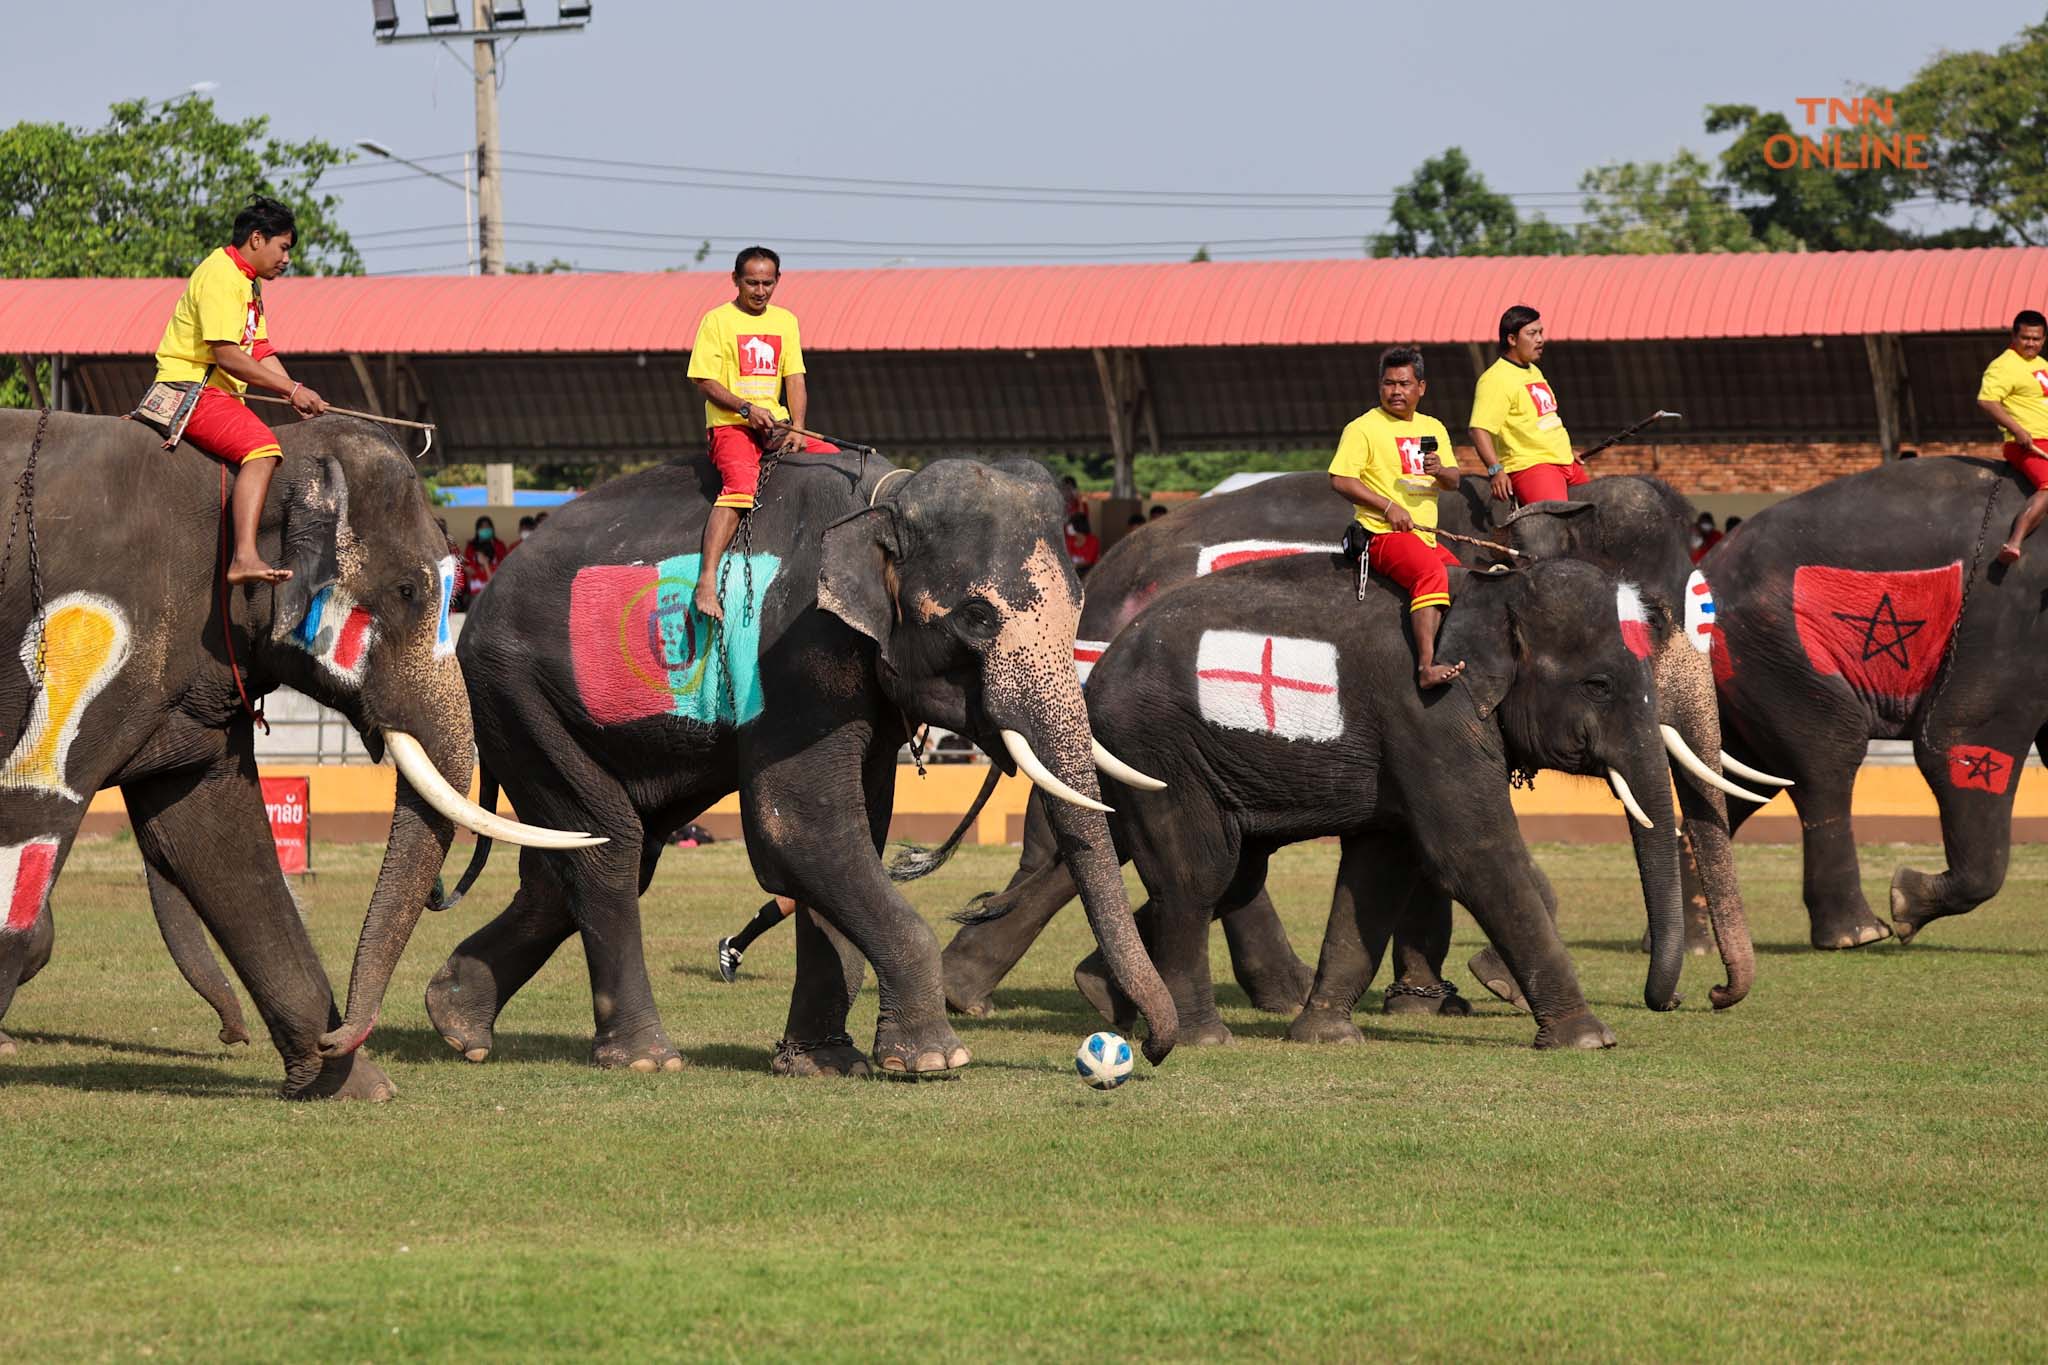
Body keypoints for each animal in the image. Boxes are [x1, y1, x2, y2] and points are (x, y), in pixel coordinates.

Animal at [0, 409, 589, 1096]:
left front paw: (351, 1086)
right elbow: (35, 810)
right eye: (407, 591)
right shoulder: (86, 643)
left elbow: (213, 833)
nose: (231, 1038)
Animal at [397, 448, 1179, 1080]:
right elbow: (799, 827)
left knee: (582, 855)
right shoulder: (796, 647)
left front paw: (825, 1063)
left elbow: (853, 831)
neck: (887, 497)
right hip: (518, 691)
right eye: (978, 617)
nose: (1142, 1048)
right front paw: (933, 1060)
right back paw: (646, 1058)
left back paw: (456, 1022)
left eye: (1078, 608)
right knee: (609, 849)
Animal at [942, 472, 1761, 1023]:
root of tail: (1097, 580)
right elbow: (1457, 842)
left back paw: (1027, 990)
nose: (1705, 994)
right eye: (1661, 620)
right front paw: (1476, 985)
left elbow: (1412, 845)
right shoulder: (1428, 702)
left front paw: (1434, 997)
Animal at [1712, 454, 2048, 945]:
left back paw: (1696, 946)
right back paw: (1861, 935)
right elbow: (1955, 739)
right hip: (1775, 645)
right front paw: (1905, 901)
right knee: (1826, 757)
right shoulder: (2008, 623)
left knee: (1743, 779)